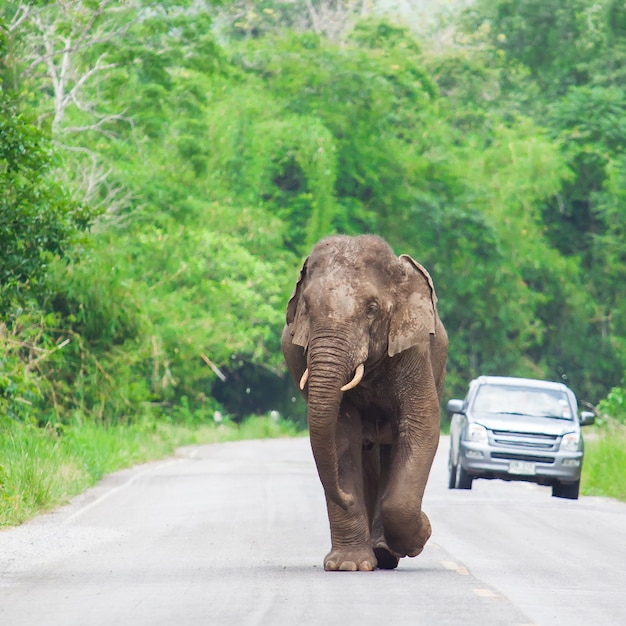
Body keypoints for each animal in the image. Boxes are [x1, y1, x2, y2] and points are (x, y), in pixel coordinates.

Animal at [280, 234, 446, 572]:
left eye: (372, 309)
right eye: (307, 307)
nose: (345, 497)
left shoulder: (415, 351)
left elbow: (422, 426)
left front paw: (422, 534)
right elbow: (340, 436)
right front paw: (348, 566)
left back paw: (385, 552)